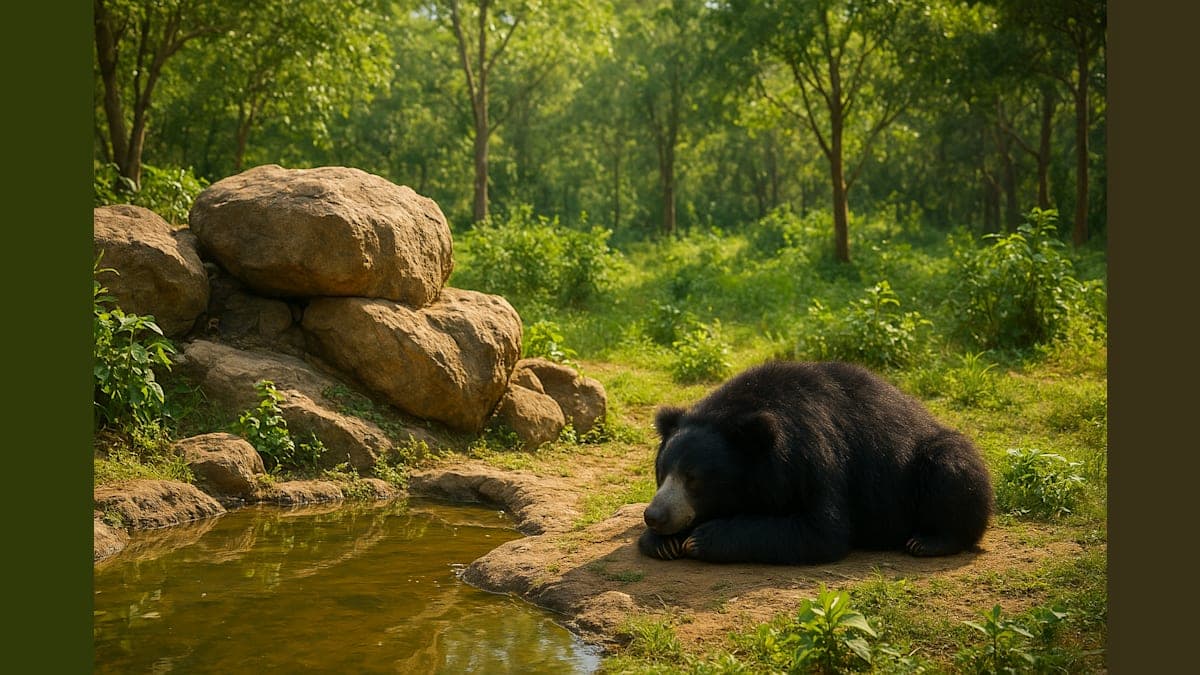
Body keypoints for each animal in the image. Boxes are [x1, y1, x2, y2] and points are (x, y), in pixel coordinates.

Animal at [638, 360, 993, 565]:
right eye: (662, 473)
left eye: (693, 478)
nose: (654, 516)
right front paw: (662, 543)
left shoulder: (813, 455)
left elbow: (821, 529)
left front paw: (701, 539)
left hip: (930, 460)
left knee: (951, 469)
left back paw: (927, 541)